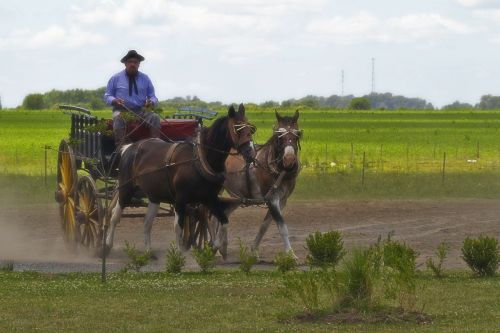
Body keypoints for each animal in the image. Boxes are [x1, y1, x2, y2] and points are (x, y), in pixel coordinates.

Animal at [105, 104, 254, 254]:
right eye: (237, 128)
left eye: (251, 128)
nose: (251, 153)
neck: (199, 160)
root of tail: (129, 147)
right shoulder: (180, 199)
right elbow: (178, 227)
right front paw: (179, 252)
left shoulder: (210, 198)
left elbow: (223, 221)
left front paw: (214, 247)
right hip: (125, 189)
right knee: (114, 216)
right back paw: (107, 245)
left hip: (154, 195)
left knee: (147, 223)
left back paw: (148, 251)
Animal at [222, 109, 300, 256]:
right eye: (279, 136)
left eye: (298, 135)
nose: (289, 159)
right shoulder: (272, 198)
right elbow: (282, 226)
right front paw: (291, 254)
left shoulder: (282, 200)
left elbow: (265, 225)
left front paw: (254, 250)